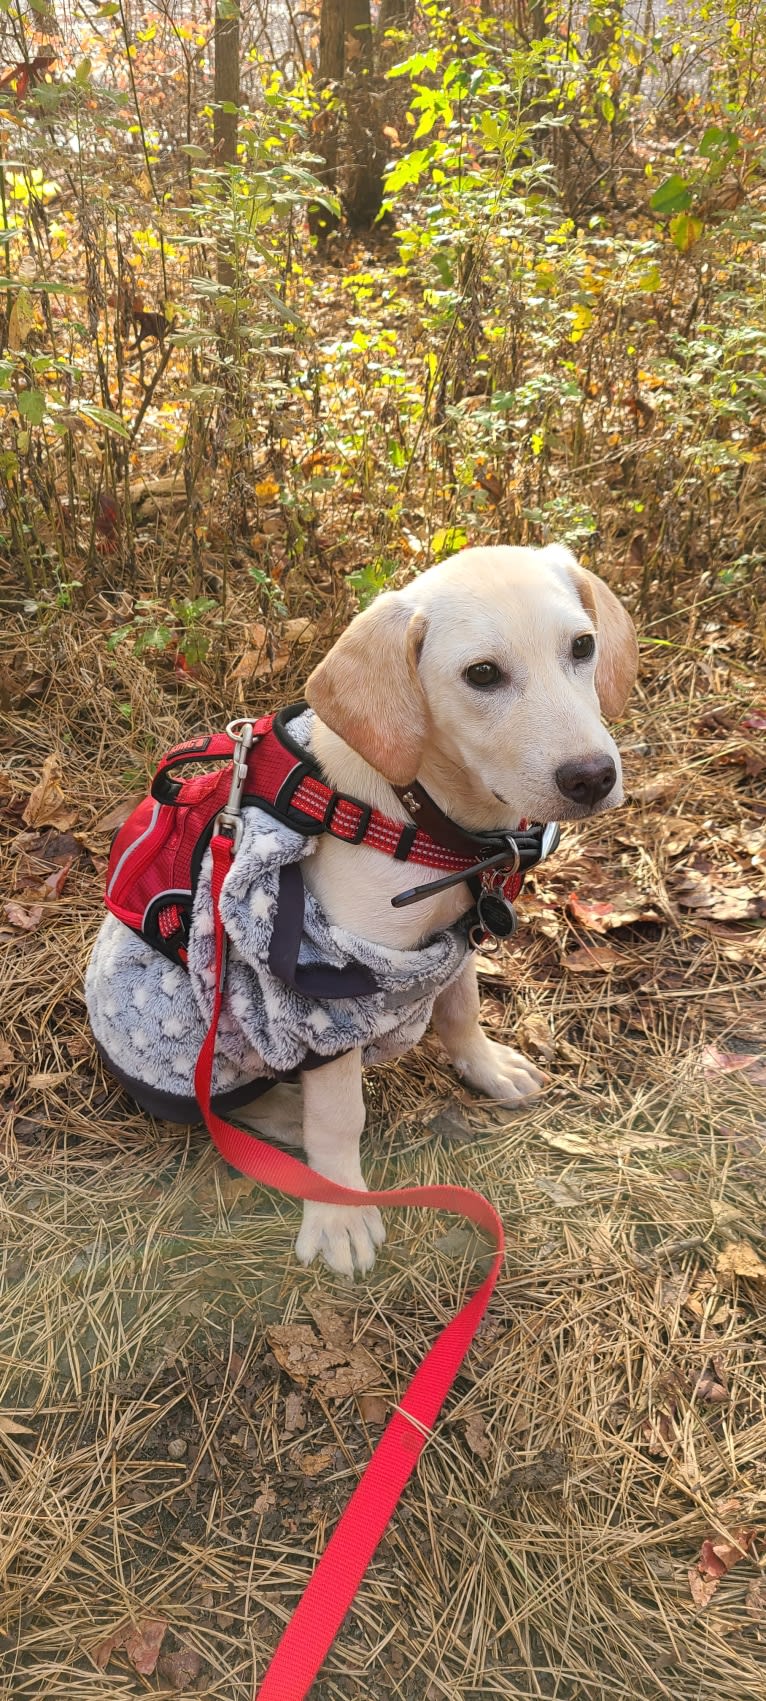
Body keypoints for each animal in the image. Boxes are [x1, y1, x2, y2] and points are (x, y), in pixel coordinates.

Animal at [83, 537, 636, 1272]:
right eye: (482, 674)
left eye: (582, 646)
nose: (592, 777)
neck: (422, 815)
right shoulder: (327, 991)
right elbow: (340, 1116)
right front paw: (339, 1210)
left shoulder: (454, 939)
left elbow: (460, 1010)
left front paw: (486, 1067)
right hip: (195, 1035)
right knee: (228, 1108)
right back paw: (288, 1118)